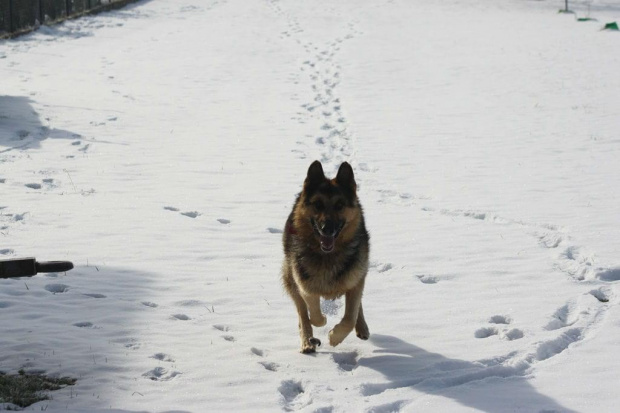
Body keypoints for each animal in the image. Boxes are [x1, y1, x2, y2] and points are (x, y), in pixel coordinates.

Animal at [284, 159, 370, 352]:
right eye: (318, 204)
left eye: (339, 205)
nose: (327, 229)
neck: (327, 255)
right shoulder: (304, 285)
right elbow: (313, 313)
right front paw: (322, 322)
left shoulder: (355, 280)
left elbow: (350, 316)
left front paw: (335, 337)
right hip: (290, 277)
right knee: (302, 313)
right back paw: (307, 341)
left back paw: (362, 327)